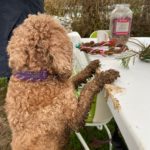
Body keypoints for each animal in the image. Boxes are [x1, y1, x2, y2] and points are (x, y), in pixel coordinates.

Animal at [5, 13, 119, 149]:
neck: (37, 76)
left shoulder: (68, 87)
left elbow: (77, 77)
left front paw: (91, 66)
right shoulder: (75, 118)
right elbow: (87, 89)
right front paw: (104, 76)